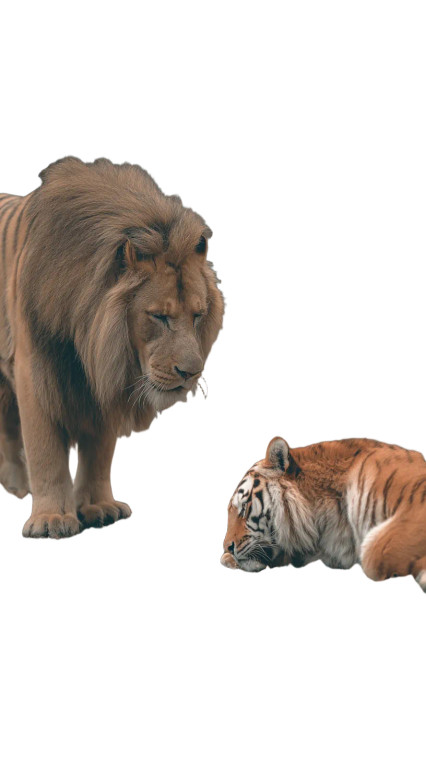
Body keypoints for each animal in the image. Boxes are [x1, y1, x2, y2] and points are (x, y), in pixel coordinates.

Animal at [0, 157, 224, 538]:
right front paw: (50, 519)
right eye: (159, 316)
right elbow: (45, 446)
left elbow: (99, 448)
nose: (190, 373)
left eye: (197, 315)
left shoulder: (105, 374)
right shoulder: (33, 366)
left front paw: (97, 507)